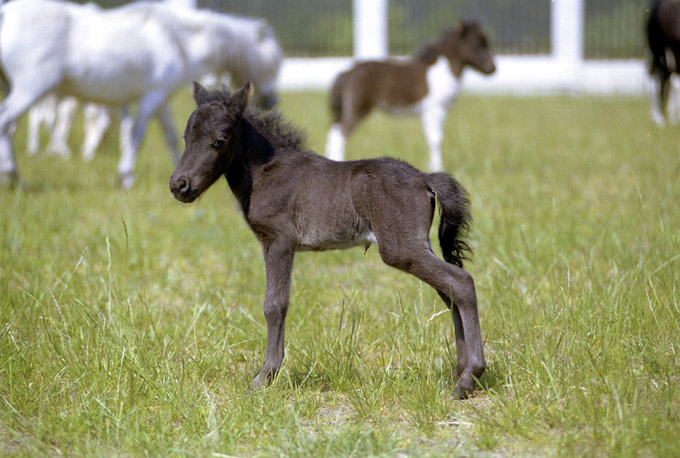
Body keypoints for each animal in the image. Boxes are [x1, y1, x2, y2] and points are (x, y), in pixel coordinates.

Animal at [0, 0, 282, 187]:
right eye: (275, 62)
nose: (272, 101)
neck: (176, 37)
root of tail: (6, 12)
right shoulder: (152, 97)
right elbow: (137, 135)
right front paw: (126, 176)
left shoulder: (160, 101)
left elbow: (170, 136)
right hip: (31, 88)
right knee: (6, 123)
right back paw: (12, 174)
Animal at [170, 81, 488, 398]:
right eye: (186, 137)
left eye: (219, 140)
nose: (179, 185)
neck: (266, 172)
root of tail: (425, 179)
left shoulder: (279, 242)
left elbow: (274, 304)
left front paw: (264, 377)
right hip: (418, 247)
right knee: (450, 292)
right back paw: (459, 374)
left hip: (401, 249)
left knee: (461, 282)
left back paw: (468, 378)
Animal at [324, 20, 494, 171]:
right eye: (476, 44)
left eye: (486, 43)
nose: (492, 69)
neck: (442, 70)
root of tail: (348, 72)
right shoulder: (434, 109)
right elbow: (435, 139)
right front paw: (437, 167)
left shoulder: (439, 110)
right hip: (358, 108)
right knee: (339, 134)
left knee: (333, 132)